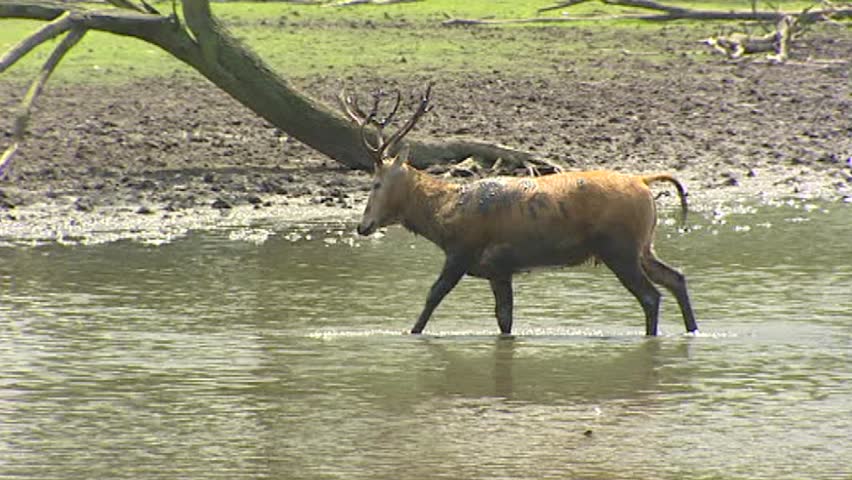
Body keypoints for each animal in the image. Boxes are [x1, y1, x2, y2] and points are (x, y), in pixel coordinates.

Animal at [340, 85, 698, 336]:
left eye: (376, 183)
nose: (363, 225)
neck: (443, 218)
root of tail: (644, 182)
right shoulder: (499, 269)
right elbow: (505, 319)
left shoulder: (463, 251)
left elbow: (433, 296)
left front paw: (410, 333)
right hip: (642, 246)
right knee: (676, 277)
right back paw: (692, 330)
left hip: (618, 247)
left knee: (651, 296)